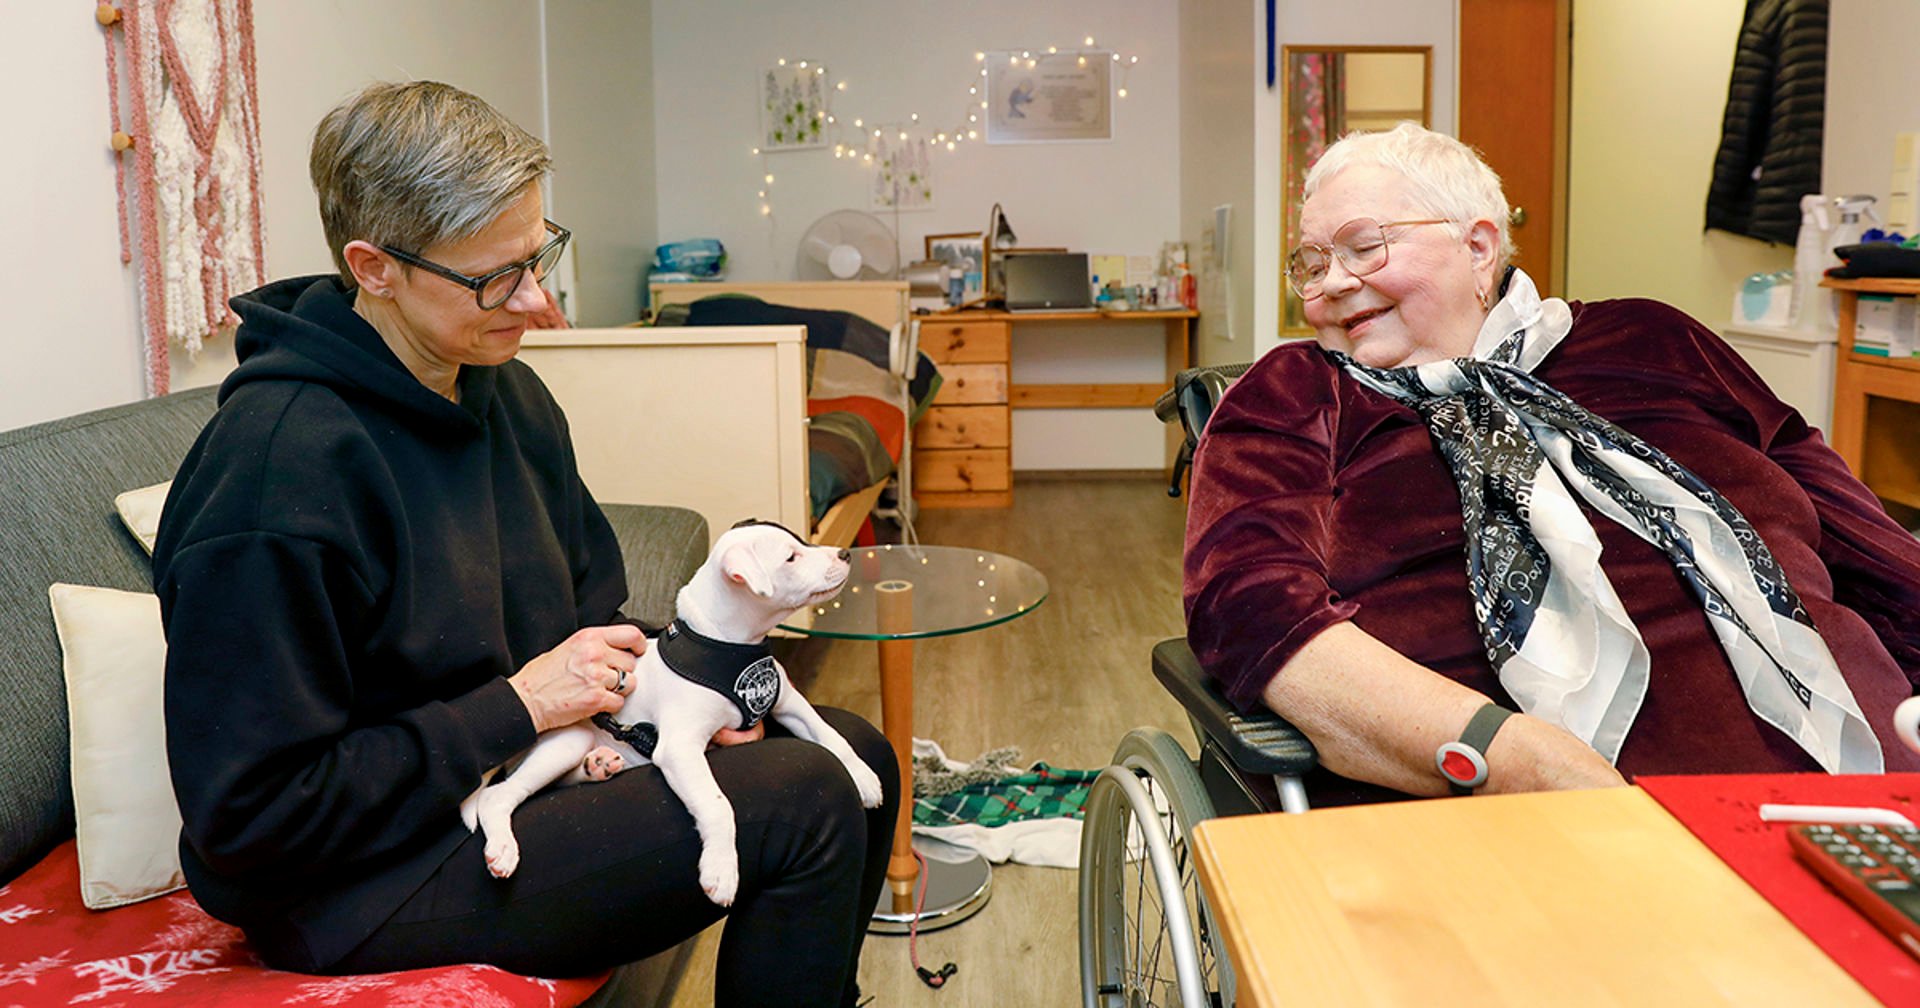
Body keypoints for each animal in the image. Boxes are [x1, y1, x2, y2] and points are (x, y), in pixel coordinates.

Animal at [460, 522, 887, 898]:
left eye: (800, 542)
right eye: (791, 557)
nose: (845, 553)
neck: (728, 648)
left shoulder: (790, 704)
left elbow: (832, 735)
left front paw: (864, 777)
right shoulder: (680, 750)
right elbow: (717, 805)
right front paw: (721, 869)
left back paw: (599, 765)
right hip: (566, 739)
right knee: (498, 796)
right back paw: (503, 849)